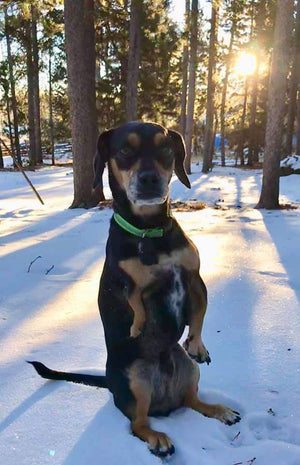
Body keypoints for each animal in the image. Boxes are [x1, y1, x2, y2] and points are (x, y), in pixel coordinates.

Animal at [29, 120, 240, 456]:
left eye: (166, 148)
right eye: (125, 151)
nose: (150, 178)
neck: (149, 231)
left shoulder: (194, 278)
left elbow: (199, 315)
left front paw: (198, 345)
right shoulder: (130, 283)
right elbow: (137, 302)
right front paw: (138, 325)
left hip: (188, 370)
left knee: (191, 399)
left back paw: (217, 409)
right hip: (135, 379)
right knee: (138, 424)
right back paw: (158, 438)